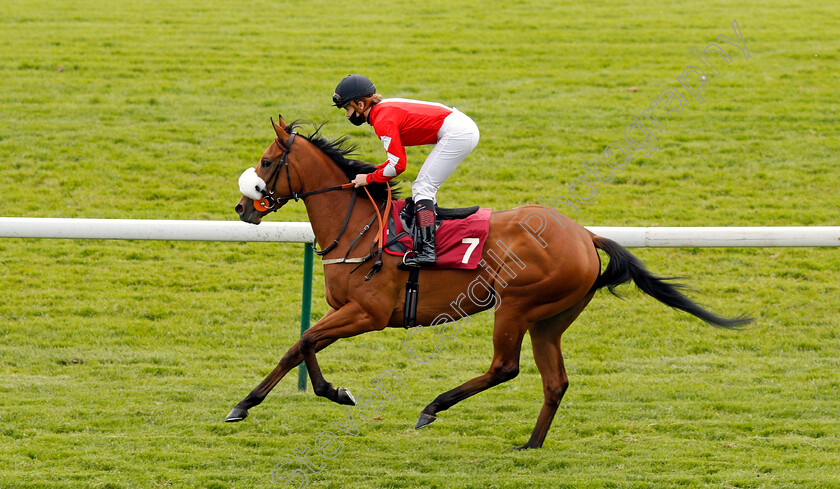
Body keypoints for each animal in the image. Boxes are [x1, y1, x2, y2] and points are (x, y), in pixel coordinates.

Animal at [226, 116, 752, 448]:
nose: (243, 207)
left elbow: (304, 342)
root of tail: (585, 235)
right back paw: (531, 445)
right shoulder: (344, 311)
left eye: (268, 162)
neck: (358, 225)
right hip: (550, 320)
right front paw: (268, 401)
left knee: (505, 367)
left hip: (516, 305)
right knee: (555, 381)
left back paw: (433, 407)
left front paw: (306, 396)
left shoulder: (368, 314)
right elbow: (302, 344)